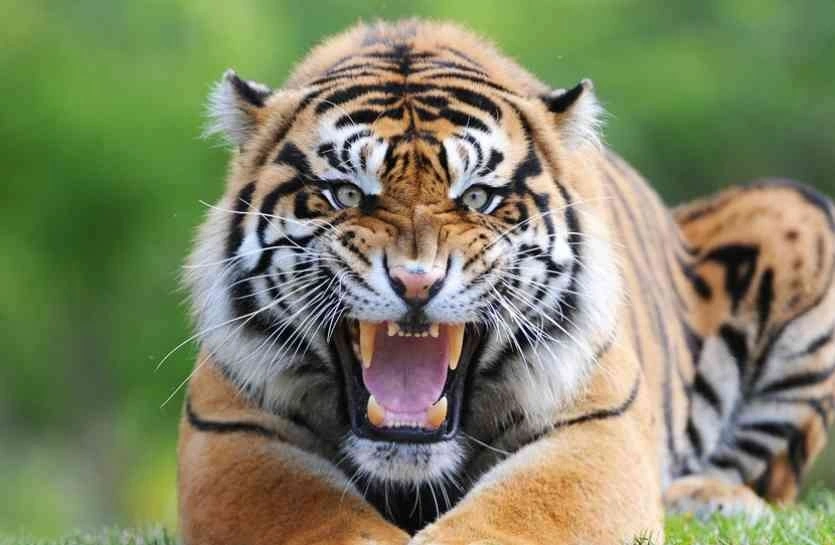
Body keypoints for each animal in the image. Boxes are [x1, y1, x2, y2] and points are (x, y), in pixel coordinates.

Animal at [177, 19, 835, 545]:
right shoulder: (233, 432)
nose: (416, 283)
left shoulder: (594, 429)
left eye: (476, 198)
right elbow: (316, 517)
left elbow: (520, 514)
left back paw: (709, 500)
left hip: (801, 213)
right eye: (345, 194)